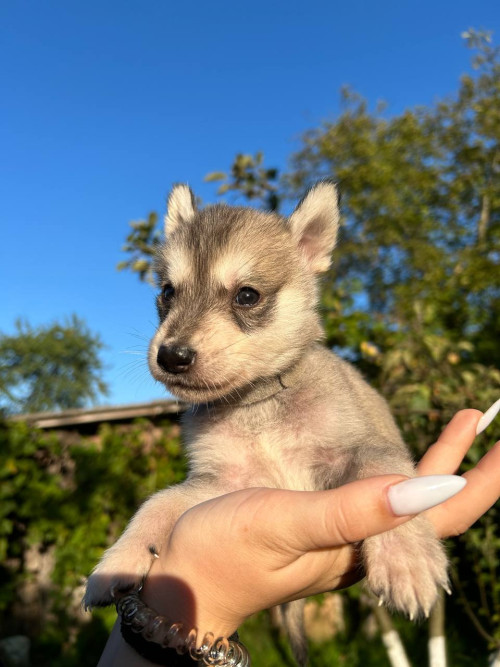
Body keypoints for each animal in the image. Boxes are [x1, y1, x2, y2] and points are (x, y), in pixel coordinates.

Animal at [84, 180, 448, 664]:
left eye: (247, 295)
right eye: (167, 293)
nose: (171, 356)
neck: (258, 404)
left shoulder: (359, 450)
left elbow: (389, 479)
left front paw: (407, 557)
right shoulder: (222, 482)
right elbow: (158, 501)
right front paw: (117, 561)